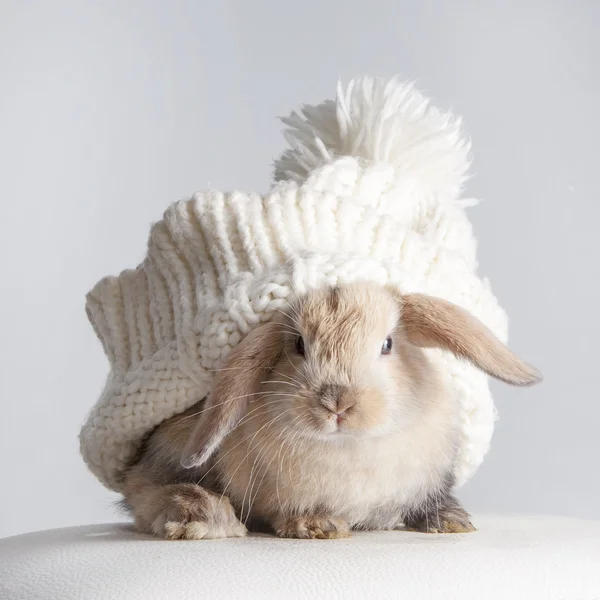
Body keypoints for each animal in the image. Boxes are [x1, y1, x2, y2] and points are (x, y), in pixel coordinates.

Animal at [120, 284, 540, 540]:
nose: (337, 402)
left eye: (388, 344)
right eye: (297, 344)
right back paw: (205, 518)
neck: (350, 450)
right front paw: (316, 524)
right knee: (142, 492)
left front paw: (453, 523)